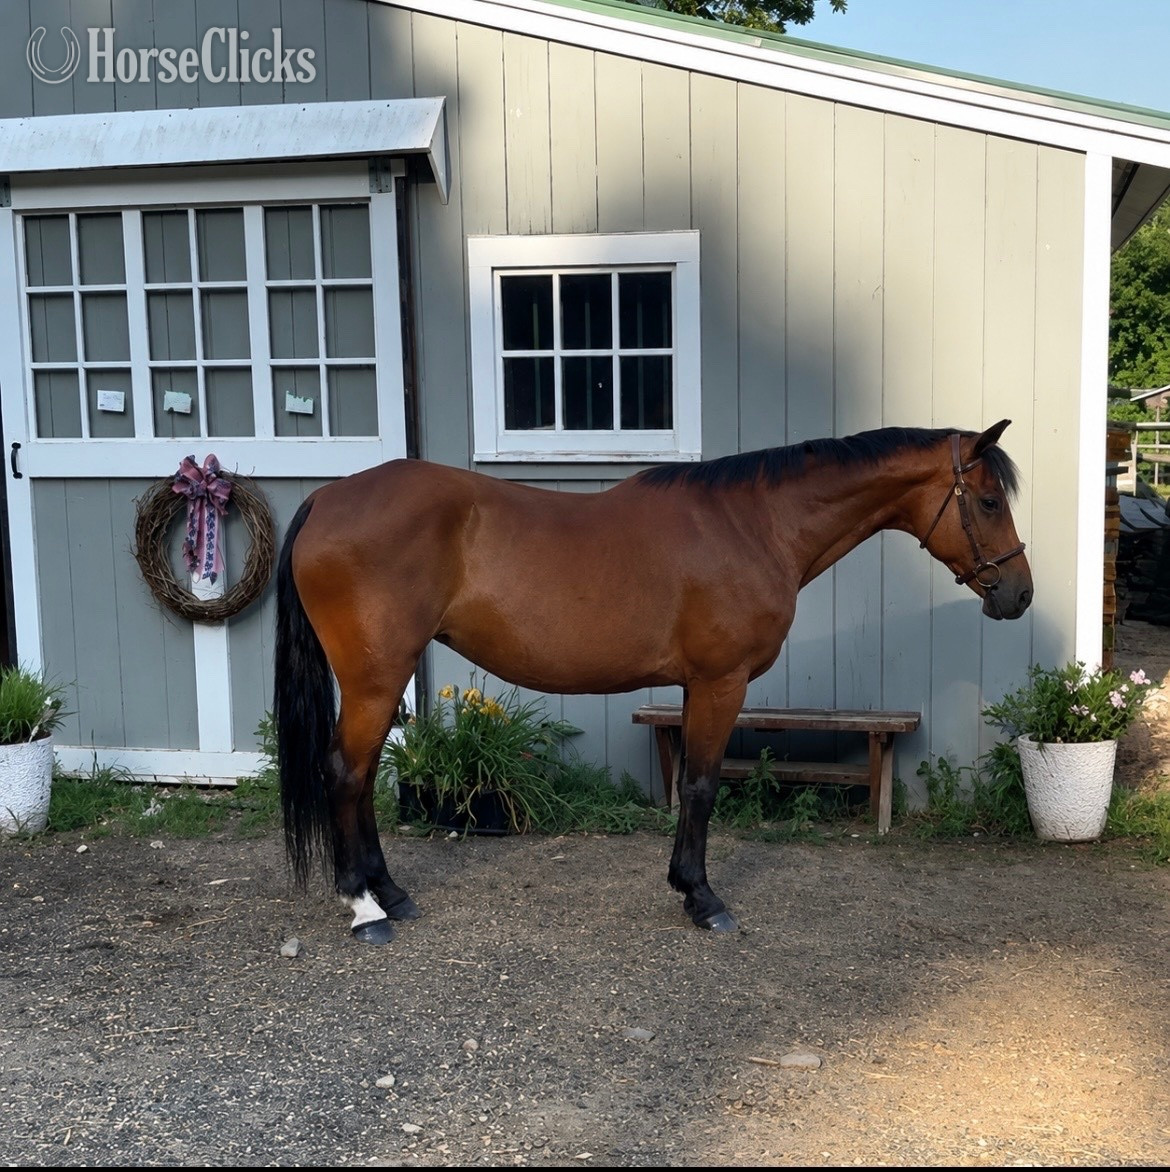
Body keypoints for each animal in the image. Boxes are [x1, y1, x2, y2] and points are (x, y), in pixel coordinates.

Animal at [274, 420, 1031, 944]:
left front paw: (685, 884)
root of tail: (328, 498)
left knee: (361, 777)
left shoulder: (698, 684)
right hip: (375, 677)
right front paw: (703, 899)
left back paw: (391, 893)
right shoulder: (723, 682)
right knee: (346, 772)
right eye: (989, 500)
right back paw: (364, 907)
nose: (1019, 594)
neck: (754, 524)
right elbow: (700, 786)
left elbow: (693, 785)